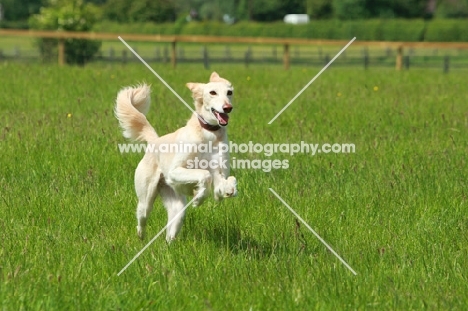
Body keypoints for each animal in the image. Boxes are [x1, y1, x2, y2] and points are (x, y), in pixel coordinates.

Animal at [114, 72, 238, 241]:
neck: (209, 135)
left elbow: (225, 181)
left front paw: (227, 190)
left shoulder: (219, 174)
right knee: (142, 219)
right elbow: (204, 174)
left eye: (229, 92)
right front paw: (198, 198)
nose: (228, 108)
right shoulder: (174, 171)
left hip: (177, 209)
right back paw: (141, 237)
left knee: (170, 233)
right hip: (146, 200)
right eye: (212, 92)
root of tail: (155, 141)